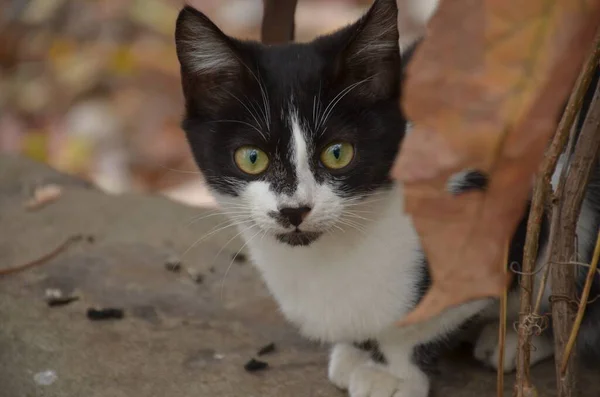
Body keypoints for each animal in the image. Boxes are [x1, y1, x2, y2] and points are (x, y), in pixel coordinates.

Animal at [175, 1, 600, 394]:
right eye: (252, 158)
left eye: (338, 153)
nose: (295, 210)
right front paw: (356, 350)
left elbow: (427, 317)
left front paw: (391, 373)